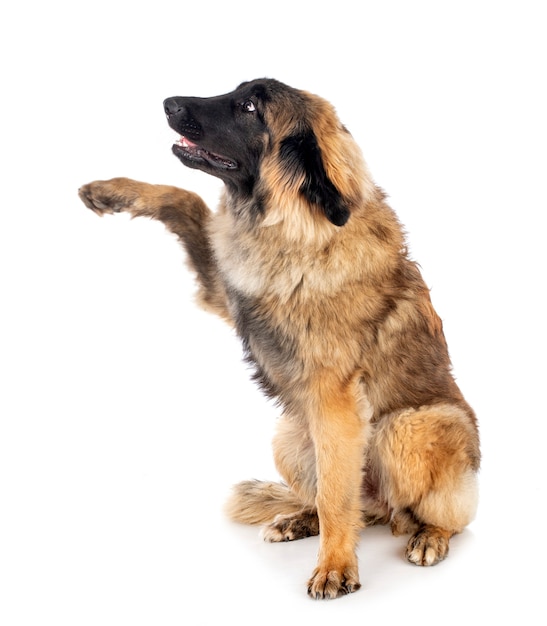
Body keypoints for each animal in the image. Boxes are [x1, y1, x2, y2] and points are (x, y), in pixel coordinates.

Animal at [77, 79, 480, 600]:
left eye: (250, 107)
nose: (168, 102)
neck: (293, 223)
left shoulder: (336, 402)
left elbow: (336, 498)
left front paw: (335, 567)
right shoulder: (223, 290)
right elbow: (185, 197)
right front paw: (110, 191)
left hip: (413, 426)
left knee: (433, 513)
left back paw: (428, 535)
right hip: (290, 435)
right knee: (355, 506)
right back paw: (297, 519)